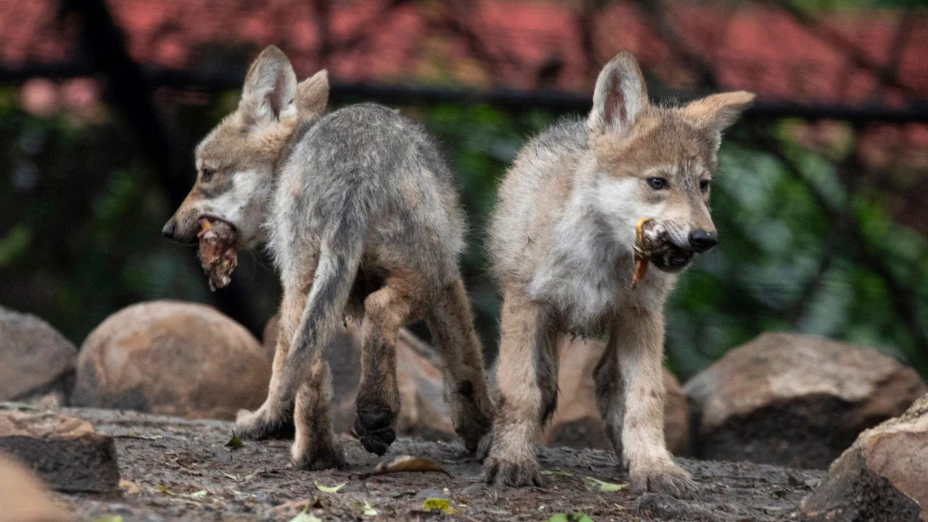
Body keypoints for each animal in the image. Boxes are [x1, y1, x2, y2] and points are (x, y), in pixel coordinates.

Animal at [162, 46, 494, 469]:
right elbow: (467, 366)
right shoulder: (448, 277)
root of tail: (354, 168)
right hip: (416, 278)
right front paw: (483, 431)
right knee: (378, 312)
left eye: (206, 173)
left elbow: (465, 369)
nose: (167, 230)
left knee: (313, 368)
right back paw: (372, 416)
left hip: (310, 288)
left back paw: (317, 453)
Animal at [482, 52, 753, 496]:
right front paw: (512, 459)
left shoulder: (642, 316)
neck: (601, 257)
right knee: (543, 382)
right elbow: (520, 390)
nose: (705, 238)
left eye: (703, 186)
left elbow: (646, 399)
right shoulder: (527, 303)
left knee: (608, 382)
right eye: (657, 182)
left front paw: (655, 466)